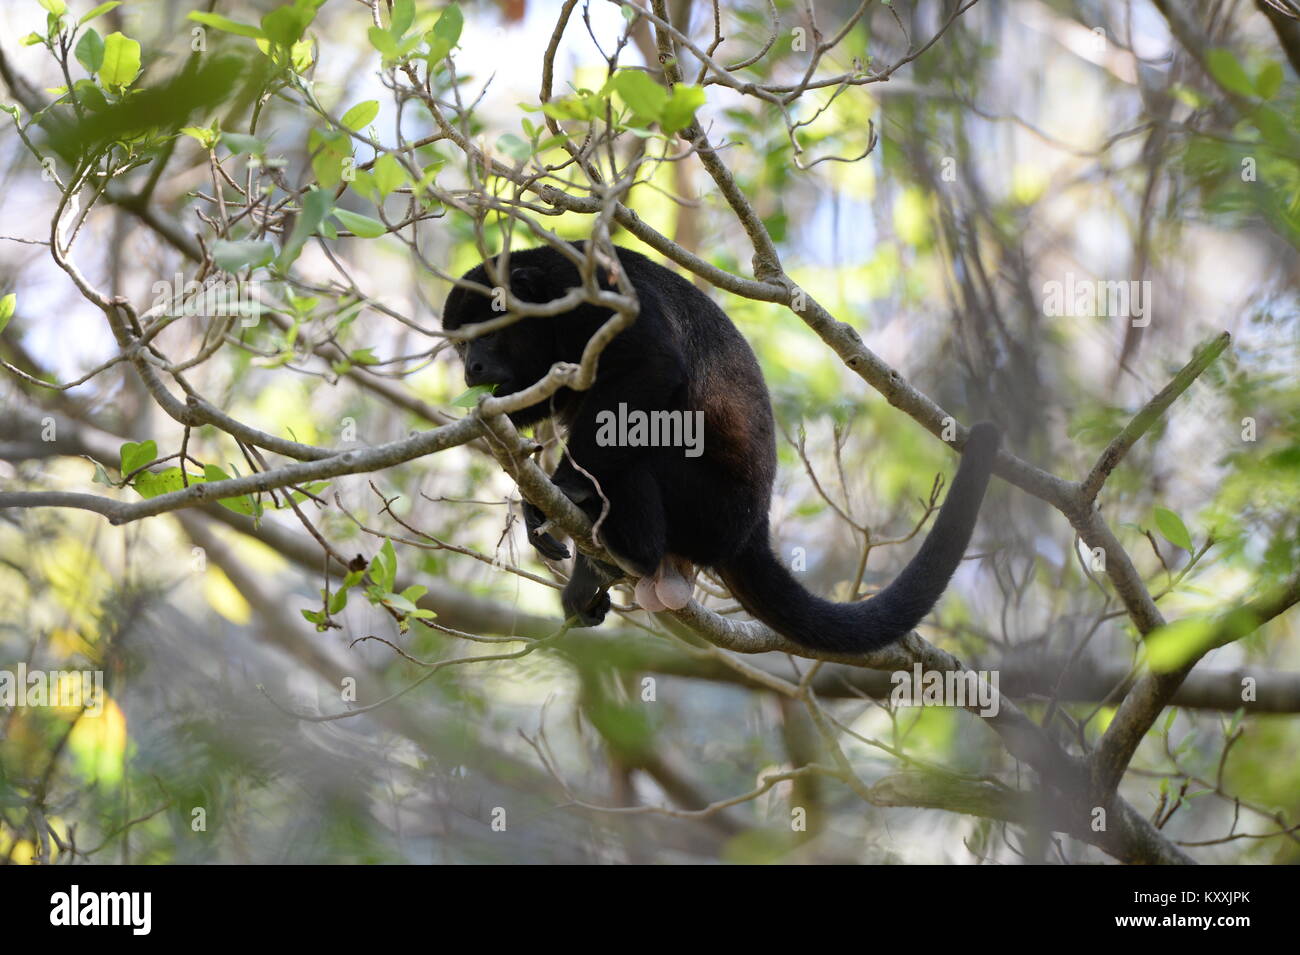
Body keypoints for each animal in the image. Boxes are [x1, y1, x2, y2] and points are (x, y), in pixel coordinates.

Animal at [441, 242, 998, 654]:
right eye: (461, 345)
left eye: (485, 336)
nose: (469, 369)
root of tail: (754, 528)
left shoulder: (592, 293)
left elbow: (652, 365)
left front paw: (563, 488)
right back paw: (590, 580)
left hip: (712, 510)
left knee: (640, 454)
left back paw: (630, 547)